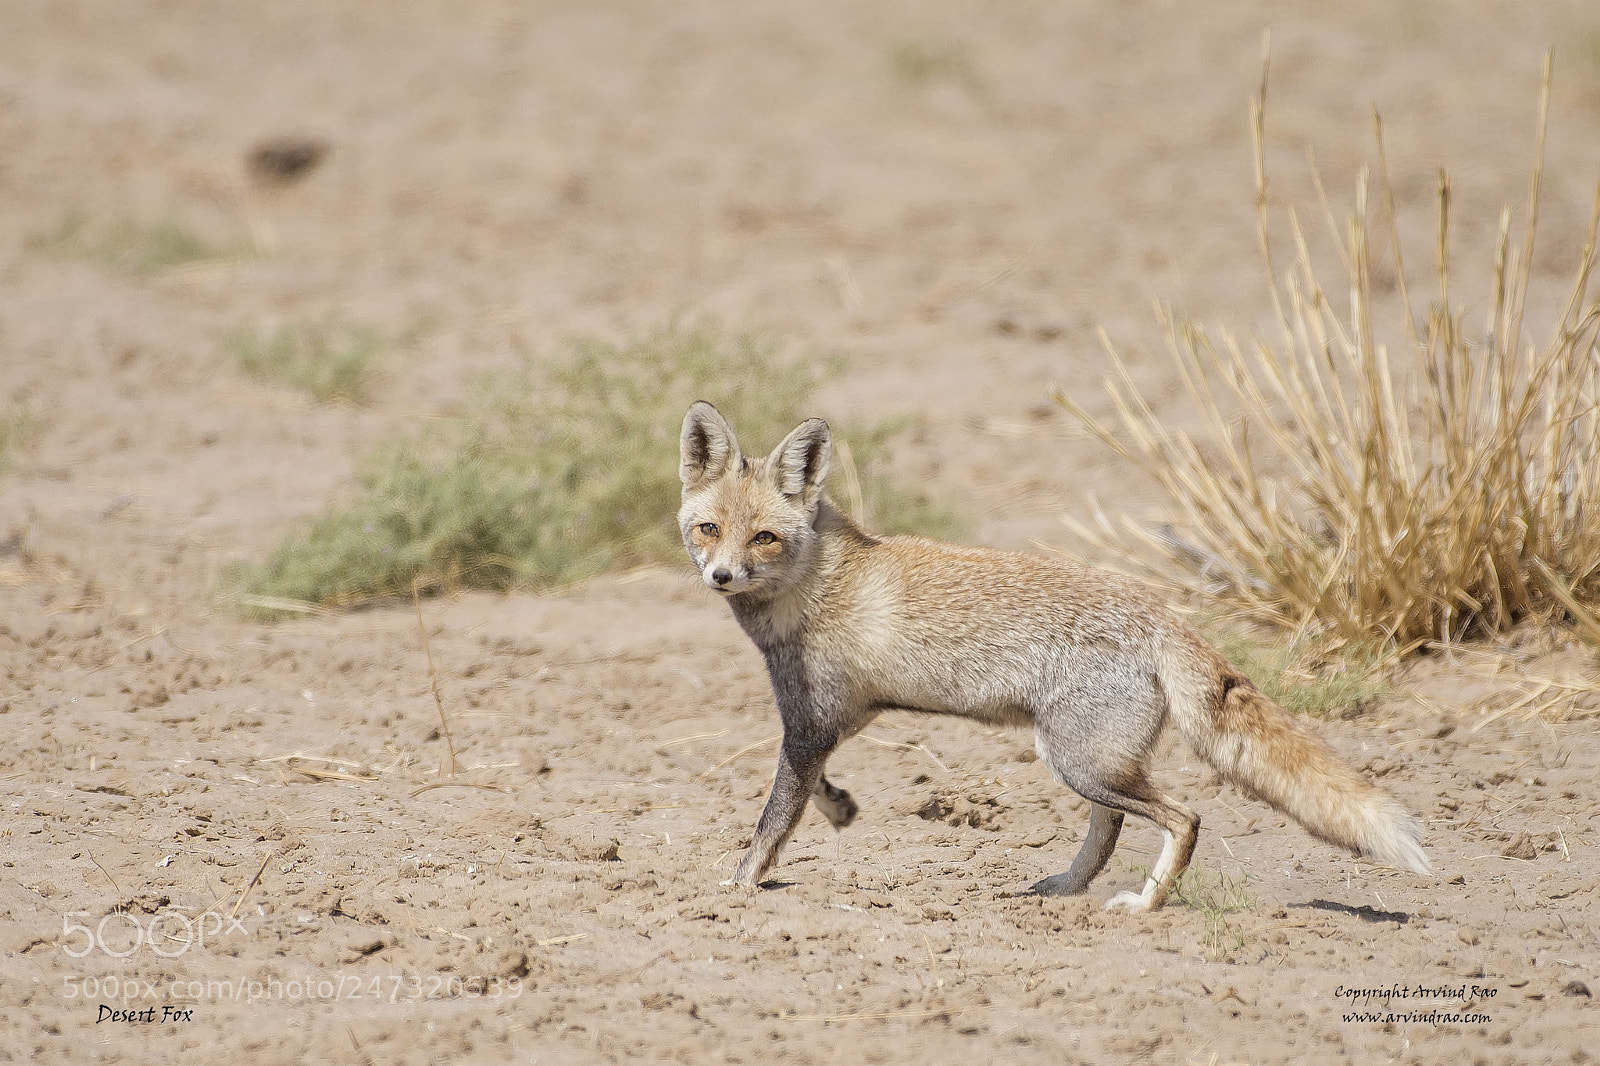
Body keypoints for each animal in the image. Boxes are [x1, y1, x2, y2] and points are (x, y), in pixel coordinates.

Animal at [677, 400, 1430, 912]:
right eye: (709, 528)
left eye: (766, 537)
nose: (721, 576)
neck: (816, 583)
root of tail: (1160, 612)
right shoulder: (834, 721)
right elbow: (813, 795)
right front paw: (839, 811)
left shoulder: (807, 727)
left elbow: (771, 823)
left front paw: (738, 886)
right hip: (1094, 762)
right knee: (1113, 827)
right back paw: (1067, 888)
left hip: (1077, 759)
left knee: (1182, 818)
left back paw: (1145, 905)